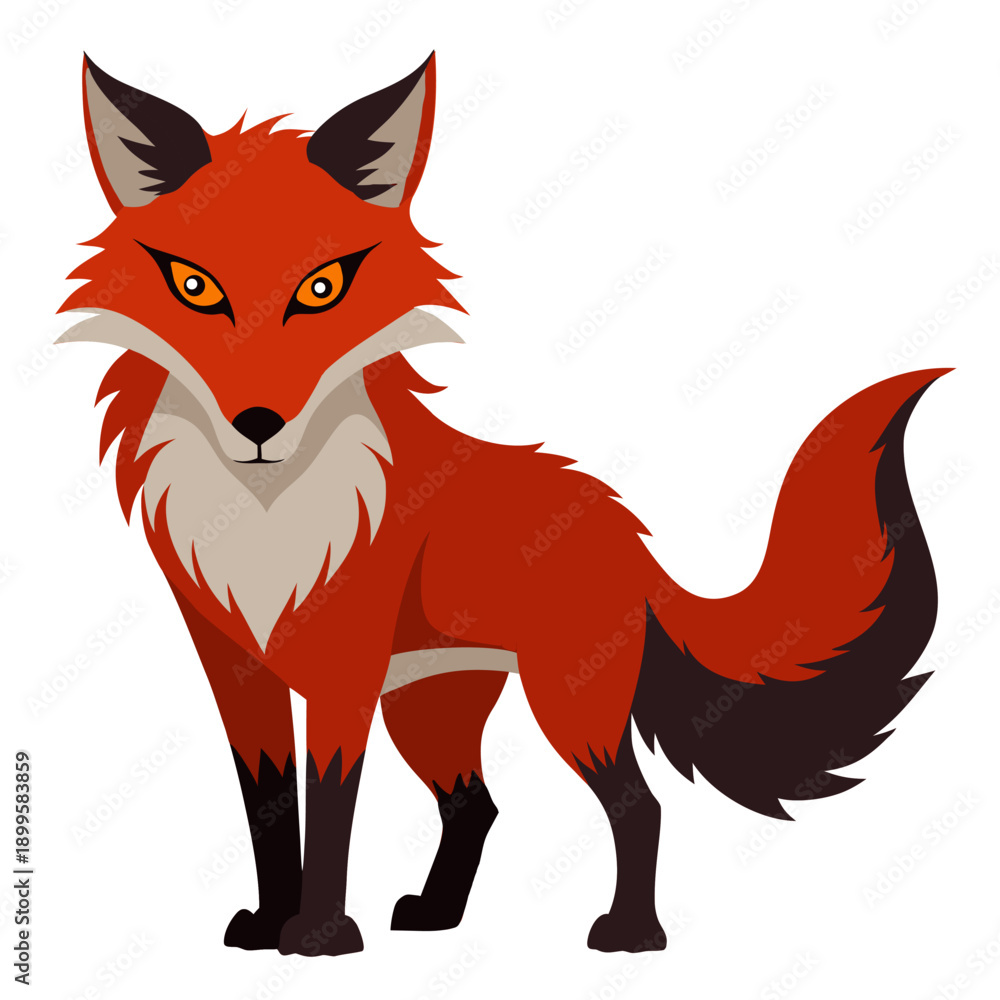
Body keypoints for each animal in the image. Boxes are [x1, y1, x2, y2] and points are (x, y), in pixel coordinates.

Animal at [60, 51, 946, 957]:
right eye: (194, 286)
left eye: (323, 286)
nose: (260, 425)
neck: (269, 520)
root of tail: (625, 529)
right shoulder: (236, 667)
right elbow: (266, 805)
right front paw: (271, 924)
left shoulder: (345, 671)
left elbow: (331, 808)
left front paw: (319, 935)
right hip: (428, 711)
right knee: (476, 806)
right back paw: (437, 915)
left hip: (566, 704)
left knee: (639, 806)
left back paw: (630, 934)